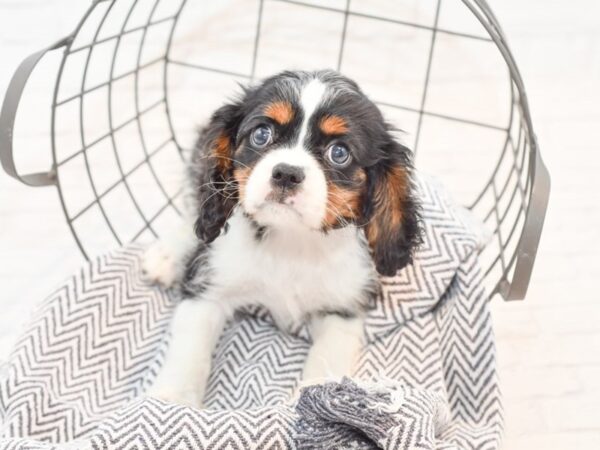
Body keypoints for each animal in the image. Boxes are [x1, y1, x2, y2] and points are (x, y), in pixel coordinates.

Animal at [143, 70, 420, 408]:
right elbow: (190, 348)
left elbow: (326, 359)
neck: (291, 241)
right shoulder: (209, 285)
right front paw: (171, 401)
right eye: (262, 134)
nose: (287, 173)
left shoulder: (343, 307)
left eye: (339, 153)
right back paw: (167, 254)